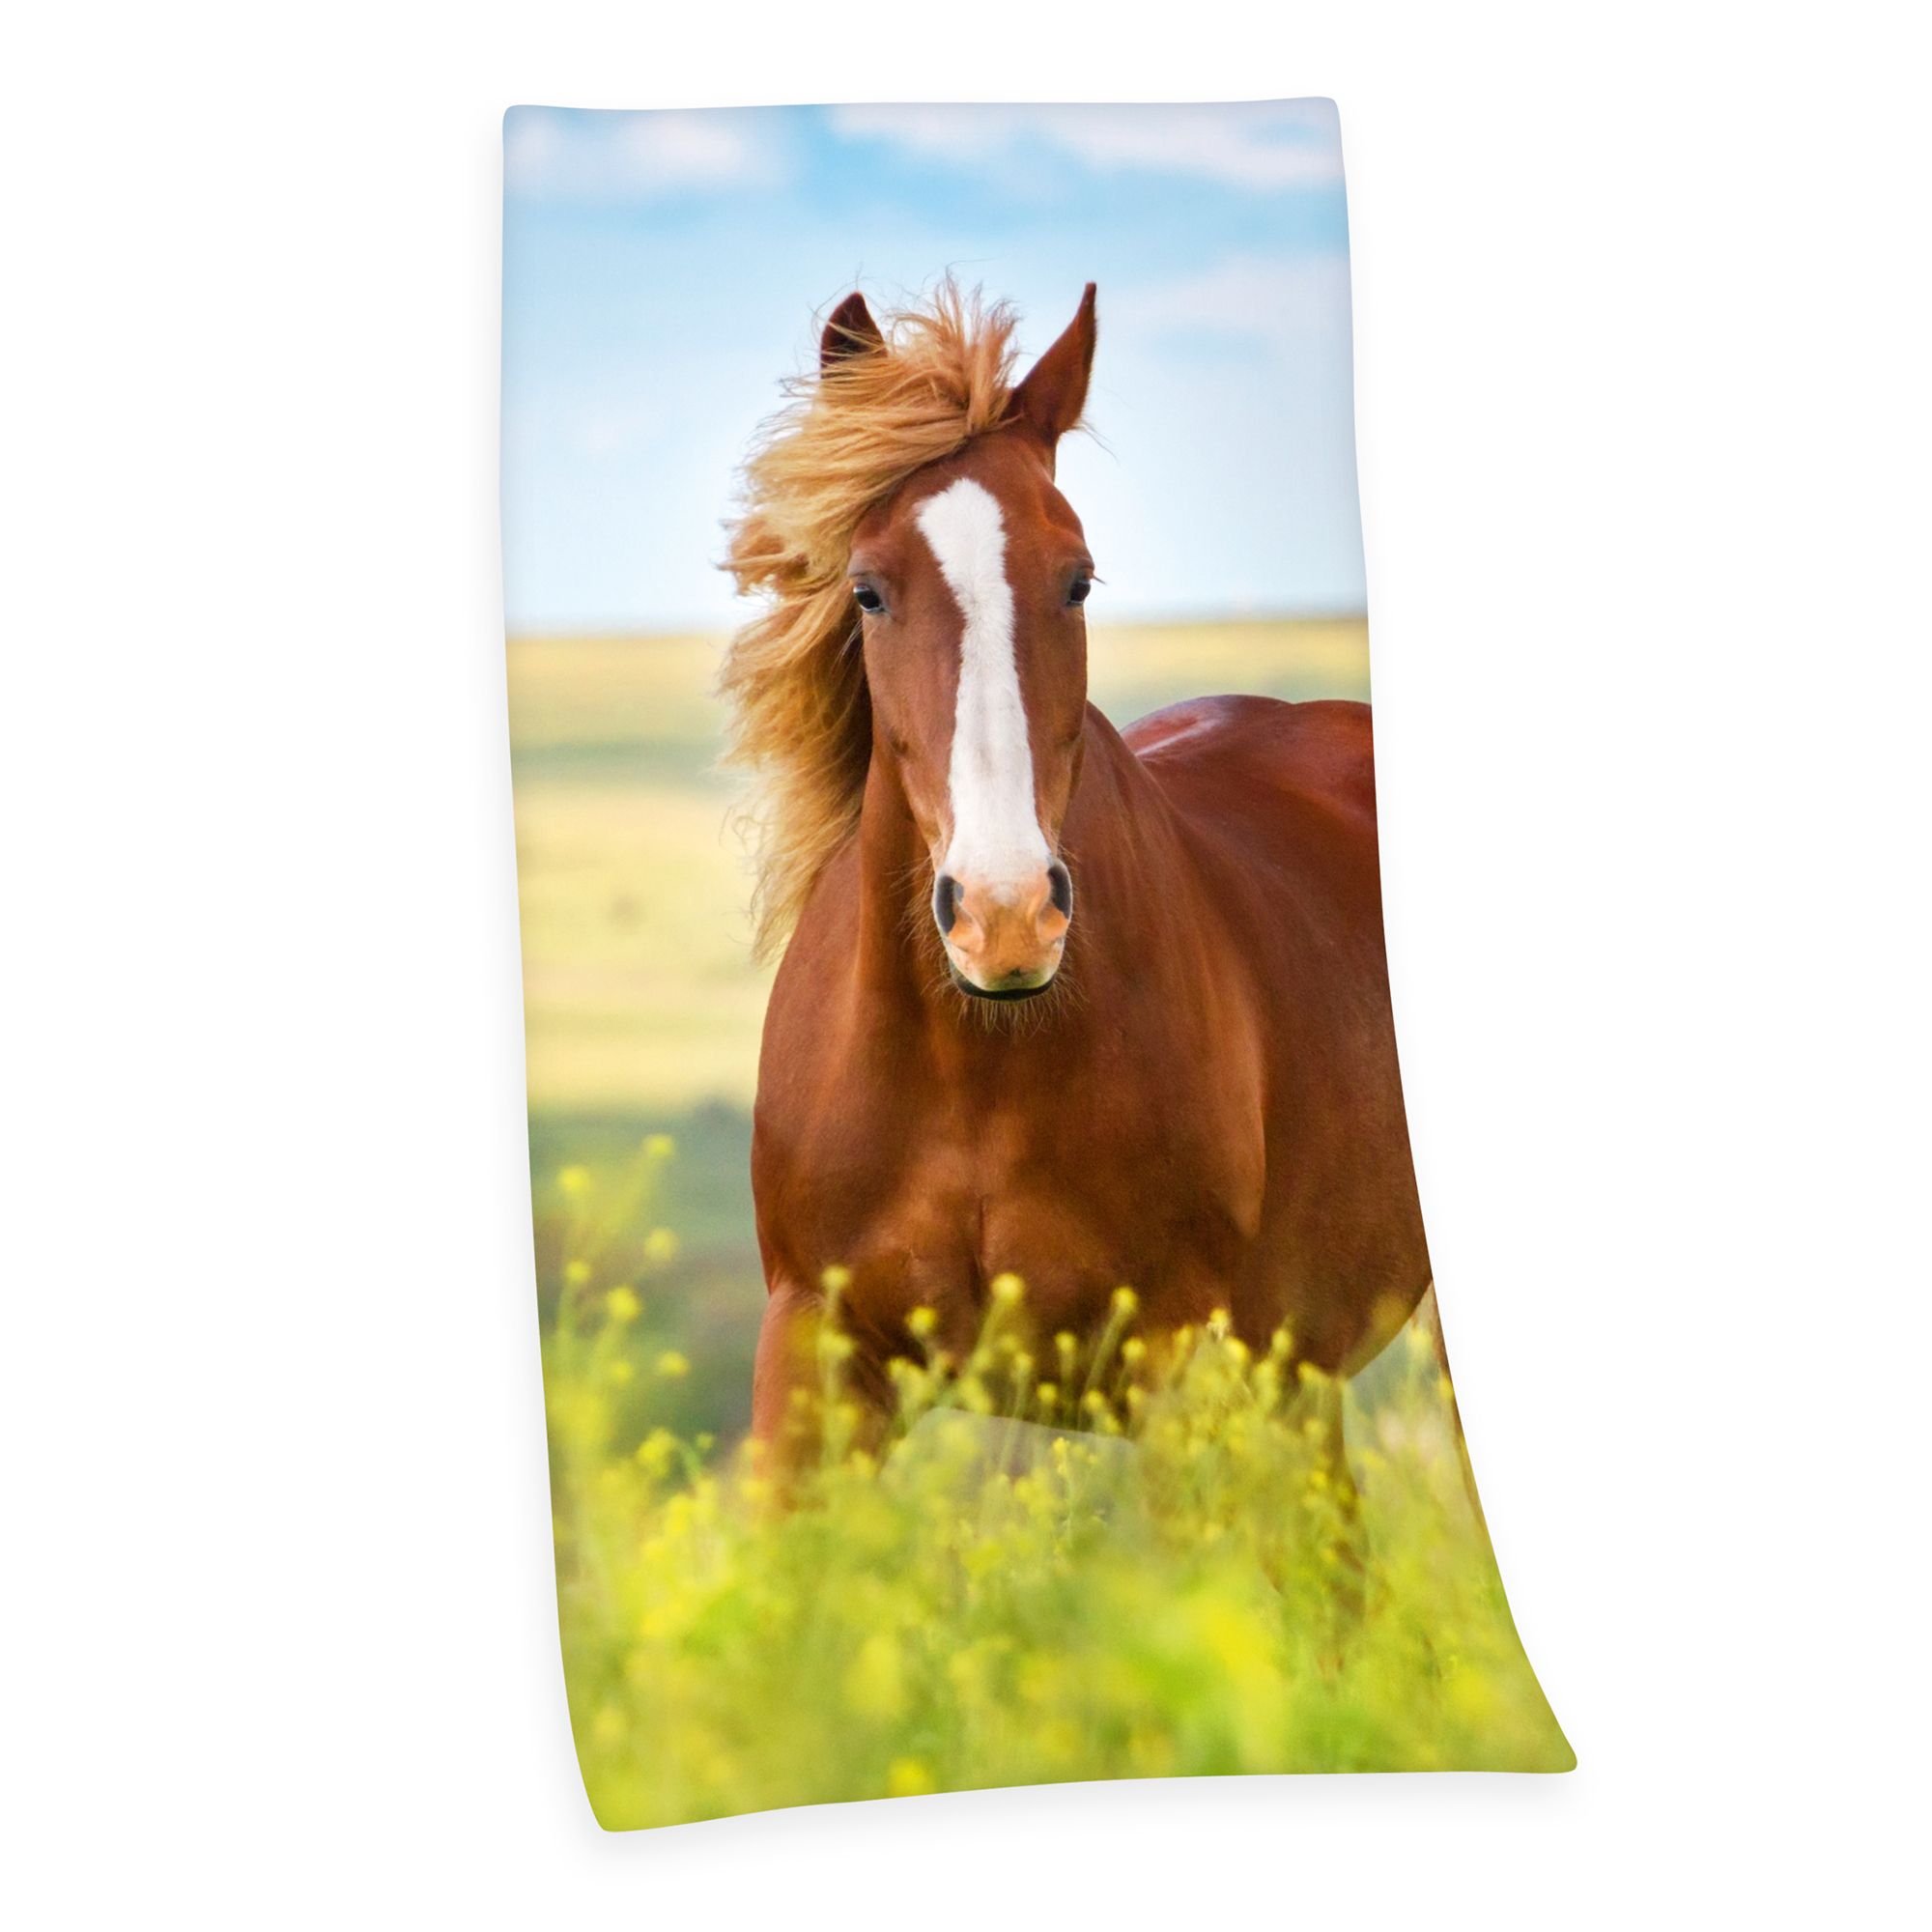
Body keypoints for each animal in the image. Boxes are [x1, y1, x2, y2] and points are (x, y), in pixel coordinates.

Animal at [719, 281, 1430, 1460]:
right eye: (866, 591)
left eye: (1078, 580)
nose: (1004, 918)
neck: (975, 1066)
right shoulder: (811, 1354)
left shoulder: (1181, 1363)